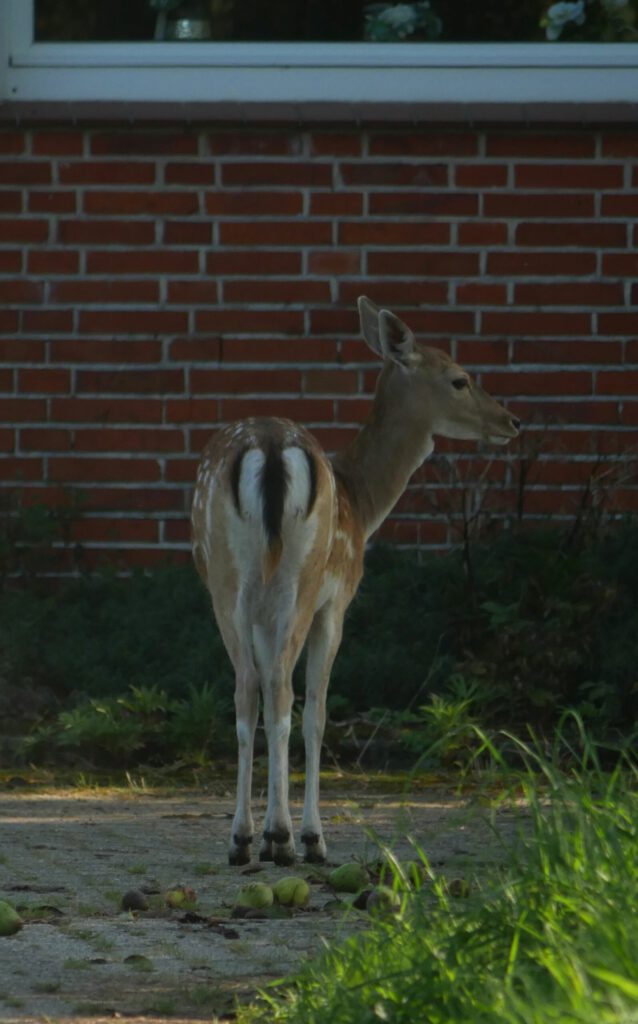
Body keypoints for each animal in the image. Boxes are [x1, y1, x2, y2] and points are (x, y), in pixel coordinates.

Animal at [190, 296, 520, 864]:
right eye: (459, 379)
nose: (511, 420)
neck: (363, 501)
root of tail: (270, 448)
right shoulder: (336, 602)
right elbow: (317, 712)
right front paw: (304, 837)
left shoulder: (261, 612)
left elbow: (262, 697)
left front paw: (263, 834)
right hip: (301, 579)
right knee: (285, 692)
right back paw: (289, 839)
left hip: (229, 583)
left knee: (248, 689)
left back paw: (241, 840)